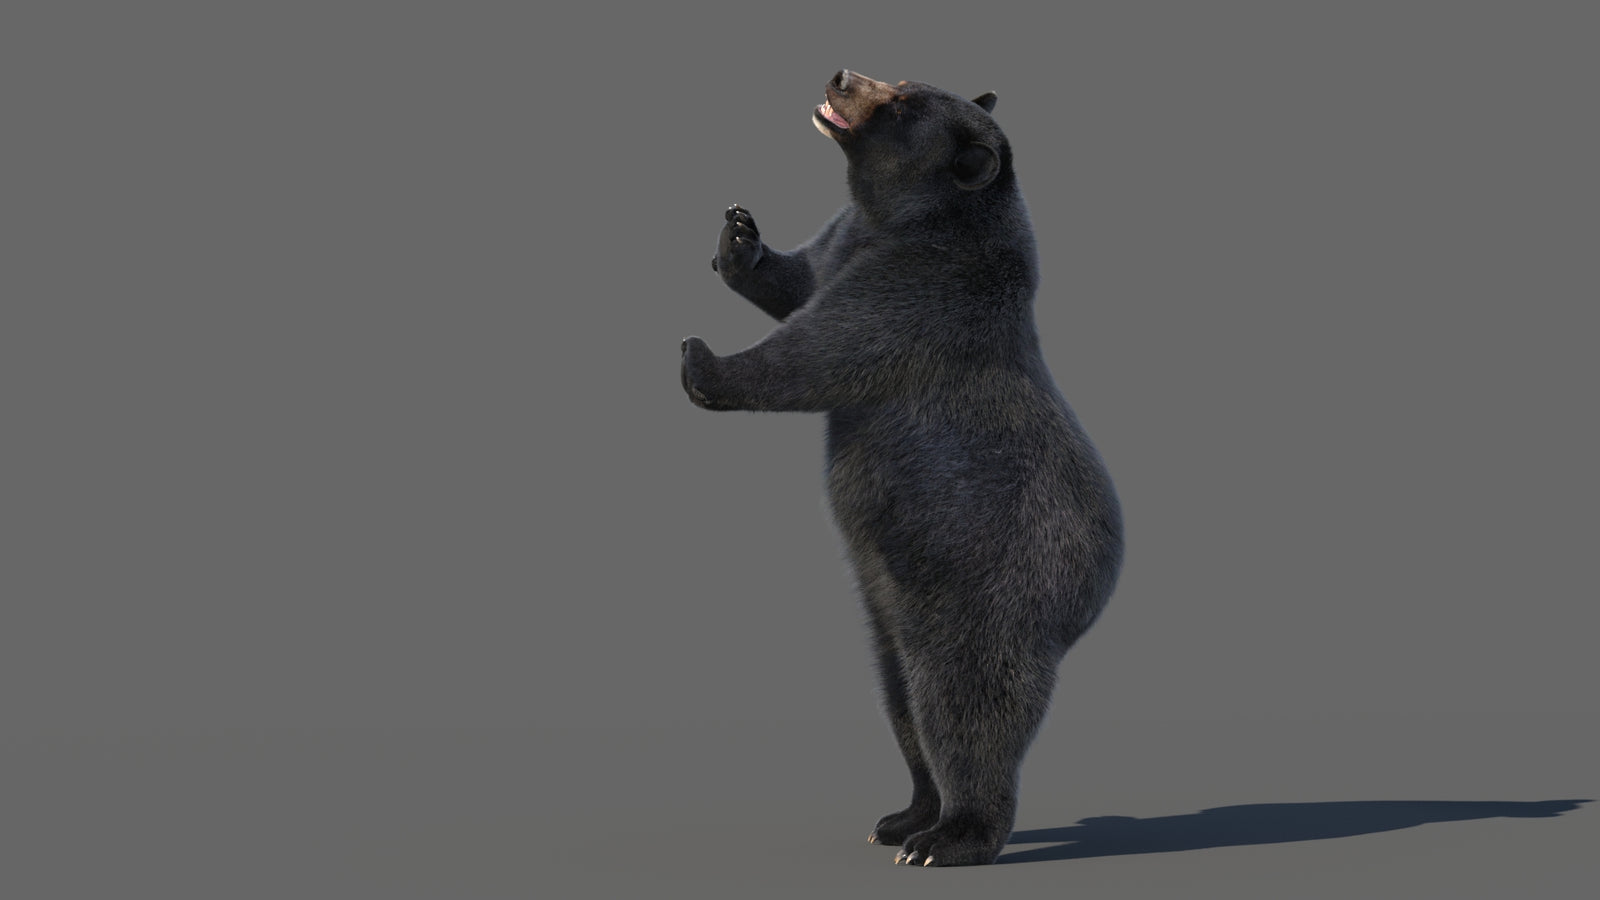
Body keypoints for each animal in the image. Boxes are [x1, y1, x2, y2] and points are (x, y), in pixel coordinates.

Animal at [680, 69, 1123, 867]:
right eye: (906, 79)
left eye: (904, 102)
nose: (840, 76)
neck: (907, 216)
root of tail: (1091, 597)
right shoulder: (848, 240)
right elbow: (799, 281)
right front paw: (739, 236)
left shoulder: (926, 283)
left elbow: (825, 346)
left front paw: (703, 361)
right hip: (888, 609)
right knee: (901, 703)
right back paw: (904, 815)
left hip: (990, 594)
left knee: (963, 708)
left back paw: (951, 837)